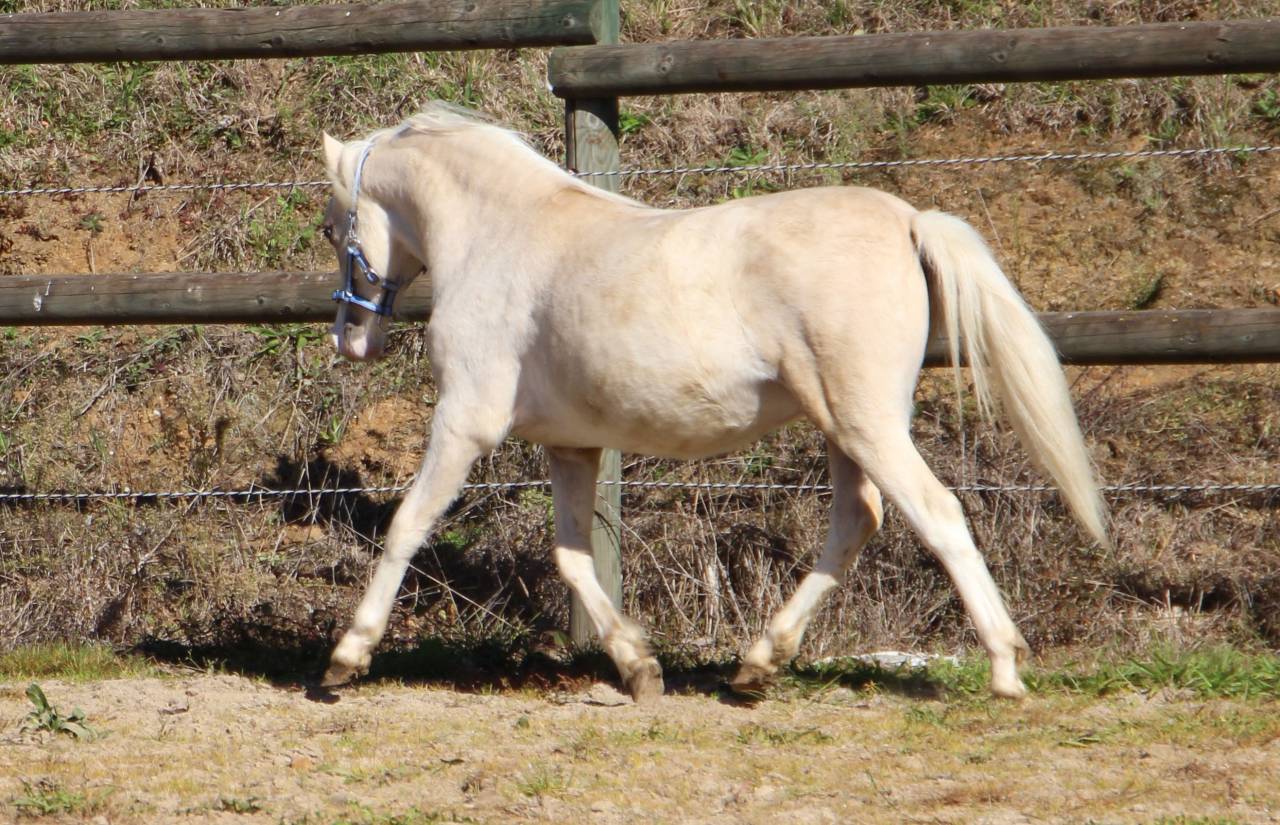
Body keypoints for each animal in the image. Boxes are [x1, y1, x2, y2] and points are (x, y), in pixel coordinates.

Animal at [318, 102, 1108, 701]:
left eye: (333, 228)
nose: (350, 339)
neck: (503, 236)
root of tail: (909, 220)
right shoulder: (572, 445)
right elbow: (573, 558)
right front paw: (639, 667)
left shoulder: (466, 423)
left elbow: (408, 524)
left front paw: (346, 657)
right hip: (845, 427)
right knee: (857, 521)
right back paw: (757, 664)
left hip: (867, 424)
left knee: (937, 513)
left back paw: (1004, 668)